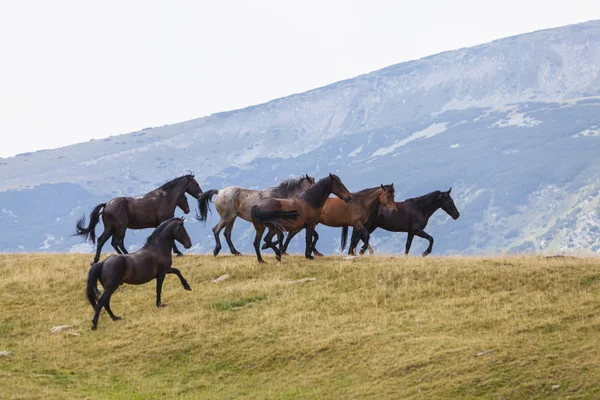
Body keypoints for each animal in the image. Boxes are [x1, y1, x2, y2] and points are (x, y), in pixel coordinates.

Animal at [74, 174, 202, 266]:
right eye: (195, 183)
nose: (200, 195)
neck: (165, 198)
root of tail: (106, 205)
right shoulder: (164, 222)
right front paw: (178, 252)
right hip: (120, 227)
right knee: (117, 242)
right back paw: (127, 256)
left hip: (111, 228)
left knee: (104, 241)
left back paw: (96, 260)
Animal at [264, 184, 398, 255]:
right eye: (388, 196)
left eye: (393, 195)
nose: (394, 210)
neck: (361, 202)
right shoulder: (357, 223)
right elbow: (365, 235)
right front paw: (361, 250)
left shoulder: (356, 225)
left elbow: (357, 238)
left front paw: (354, 252)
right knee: (292, 234)